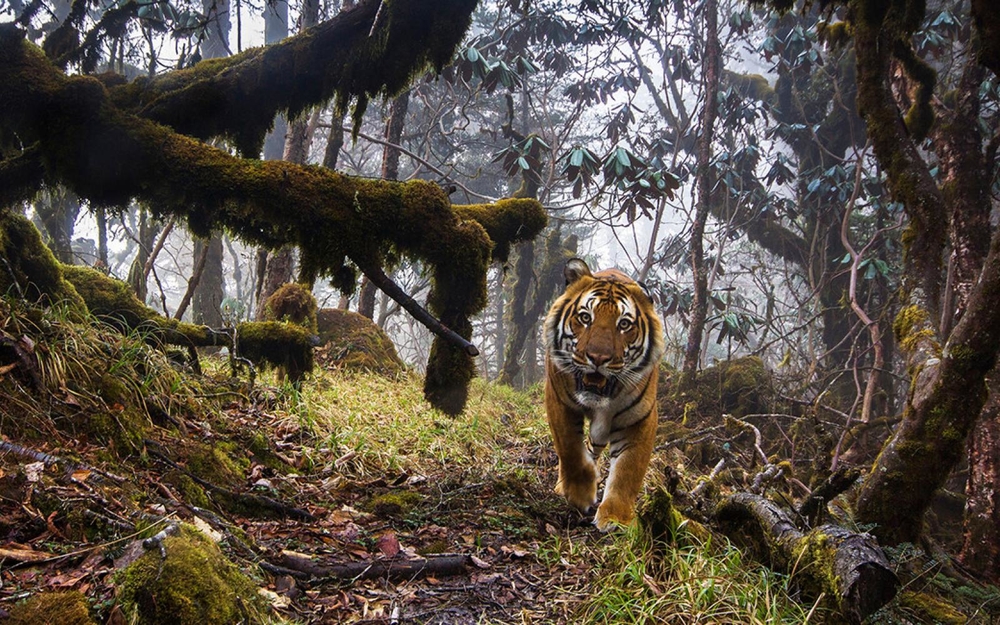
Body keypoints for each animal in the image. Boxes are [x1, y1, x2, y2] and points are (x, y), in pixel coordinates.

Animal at [543, 257, 665, 530]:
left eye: (624, 324)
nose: (598, 358)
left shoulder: (640, 418)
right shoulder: (558, 400)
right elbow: (570, 450)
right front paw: (579, 494)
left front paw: (616, 518)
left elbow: (628, 470)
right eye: (585, 317)